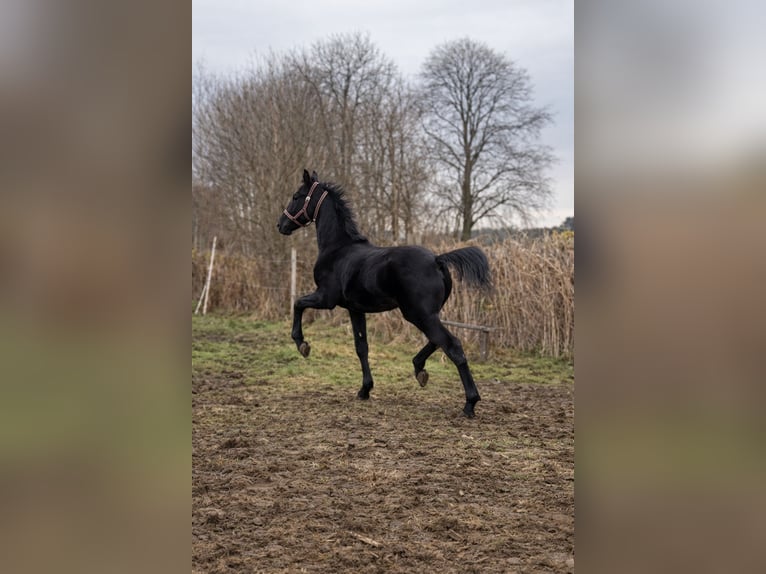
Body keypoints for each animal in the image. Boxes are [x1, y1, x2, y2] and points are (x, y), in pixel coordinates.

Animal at [277, 169, 492, 417]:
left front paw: (302, 344)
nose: (280, 225)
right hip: (426, 314)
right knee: (440, 340)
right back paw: (419, 369)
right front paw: (365, 390)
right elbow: (361, 347)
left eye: (296, 196)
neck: (338, 249)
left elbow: (298, 303)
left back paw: (469, 403)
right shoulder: (355, 309)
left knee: (452, 345)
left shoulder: (325, 298)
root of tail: (437, 260)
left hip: (419, 314)